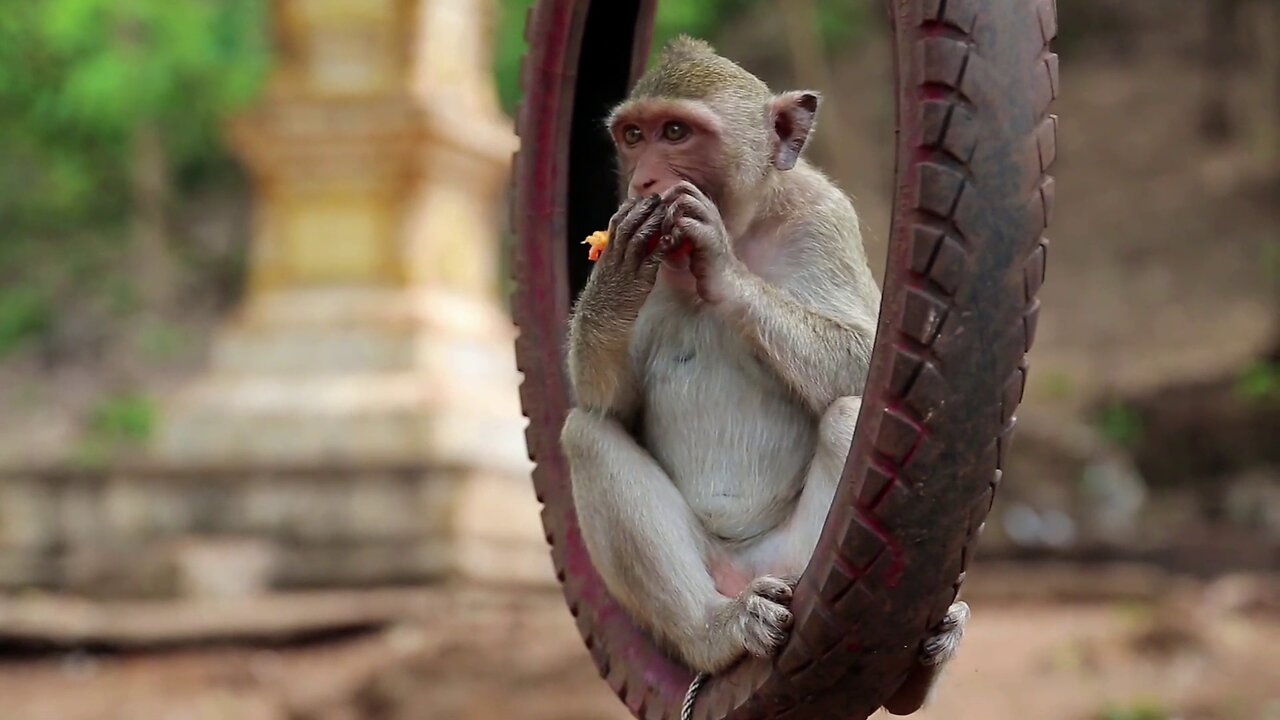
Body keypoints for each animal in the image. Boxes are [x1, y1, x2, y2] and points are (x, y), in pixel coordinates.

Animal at [560, 39, 967, 712]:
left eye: (676, 132)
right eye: (634, 136)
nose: (645, 181)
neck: (746, 224)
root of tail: (749, 574)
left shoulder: (824, 217)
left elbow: (867, 358)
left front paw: (721, 265)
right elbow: (609, 405)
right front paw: (617, 276)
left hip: (798, 559)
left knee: (851, 415)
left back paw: (917, 659)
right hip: (713, 578)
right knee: (585, 436)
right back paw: (715, 632)